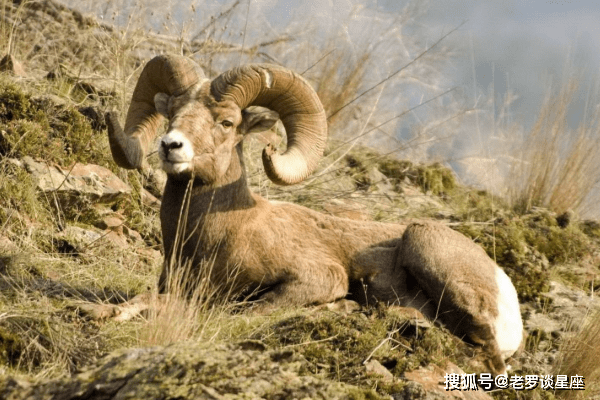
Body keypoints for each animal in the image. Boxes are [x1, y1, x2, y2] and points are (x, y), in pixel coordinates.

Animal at [105, 54, 524, 374]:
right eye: (172, 113)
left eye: (226, 122)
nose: (170, 145)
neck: (219, 234)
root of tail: (505, 289)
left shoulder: (316, 278)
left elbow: (245, 310)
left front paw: (340, 305)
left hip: (424, 243)